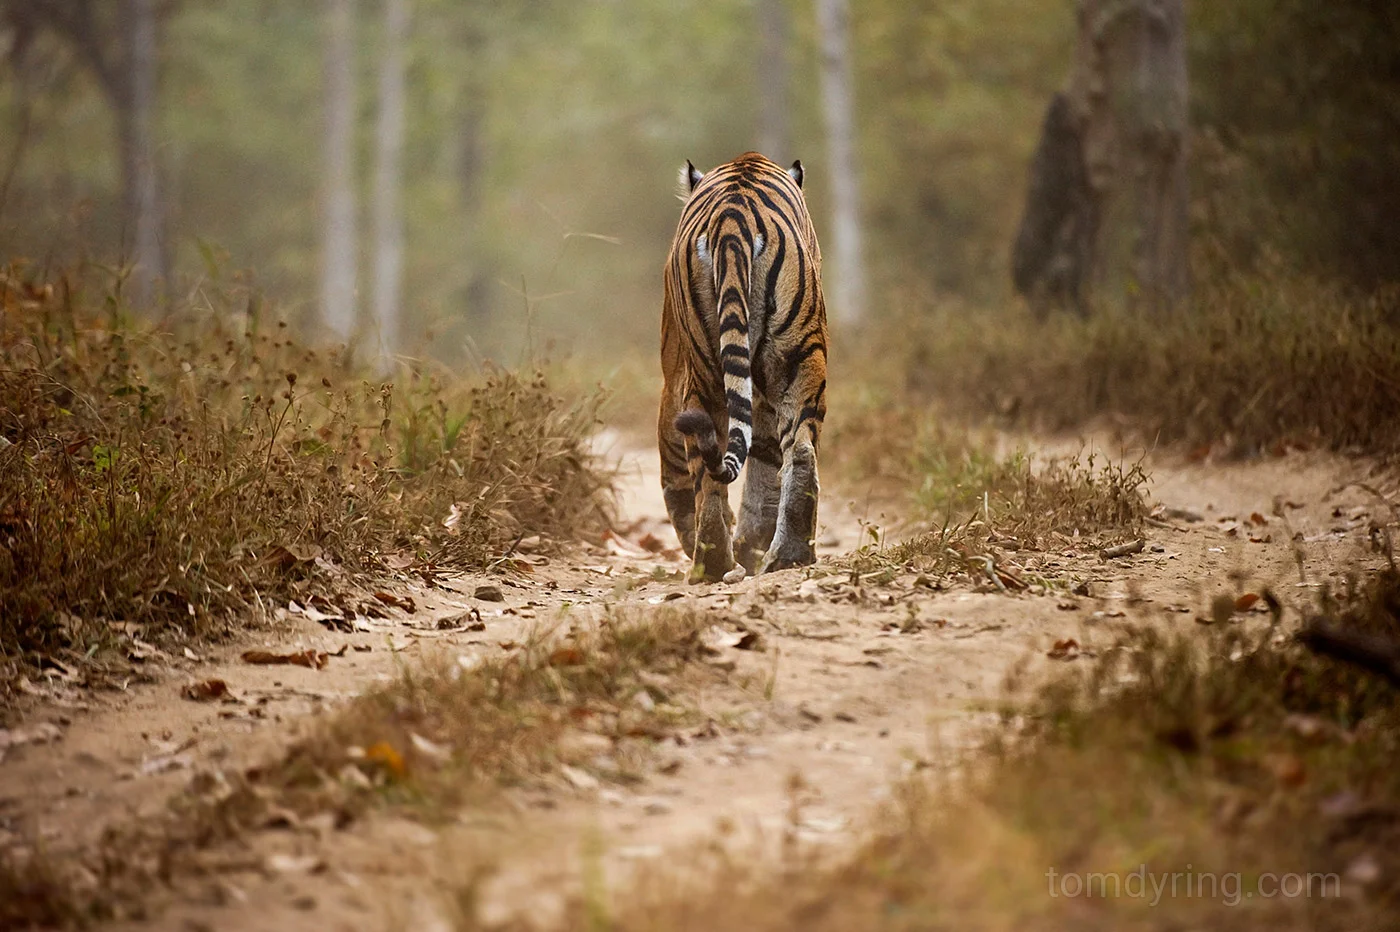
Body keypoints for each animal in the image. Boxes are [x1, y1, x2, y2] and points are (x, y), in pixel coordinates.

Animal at [657, 151, 828, 582]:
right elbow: (766, 469)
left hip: (707, 374)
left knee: (705, 473)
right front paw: (751, 547)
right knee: (801, 451)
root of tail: (734, 219)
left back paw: (711, 564)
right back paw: (787, 556)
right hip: (799, 357)